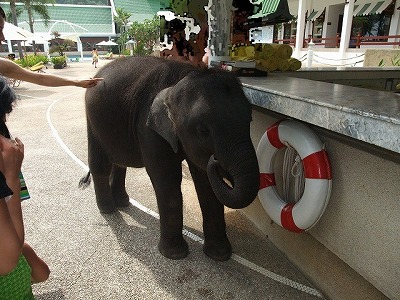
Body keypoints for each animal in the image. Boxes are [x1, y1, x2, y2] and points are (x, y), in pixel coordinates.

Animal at [84, 56, 260, 260]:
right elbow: (167, 179)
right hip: (92, 120)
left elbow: (206, 183)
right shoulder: (149, 128)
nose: (215, 160)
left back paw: (122, 203)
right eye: (203, 131)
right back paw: (108, 209)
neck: (181, 77)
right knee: (101, 164)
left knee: (119, 162)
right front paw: (175, 255)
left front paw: (220, 255)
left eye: (250, 120)